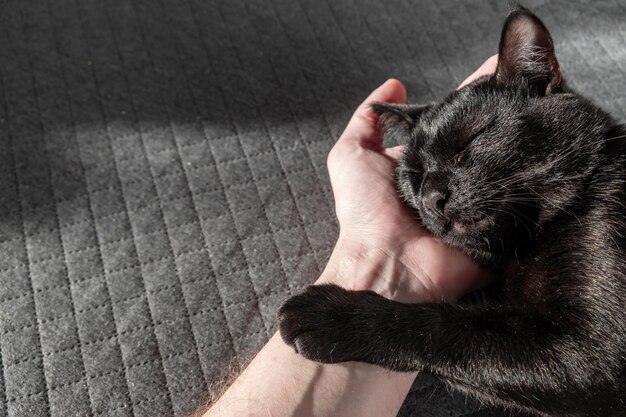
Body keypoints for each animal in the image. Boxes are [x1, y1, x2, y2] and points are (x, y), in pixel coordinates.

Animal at [278, 5, 624, 416]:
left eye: (470, 141)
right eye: (413, 175)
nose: (431, 198)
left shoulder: (593, 356)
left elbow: (446, 327)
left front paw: (329, 315)